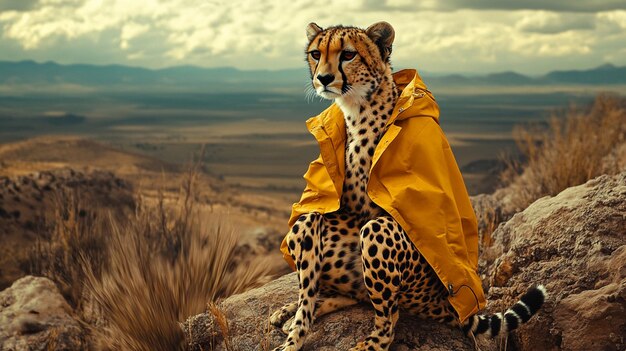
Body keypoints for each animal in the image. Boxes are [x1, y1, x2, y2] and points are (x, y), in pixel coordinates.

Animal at [270, 22, 544, 351]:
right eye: (315, 54)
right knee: (316, 238)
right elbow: (313, 223)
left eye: (348, 55)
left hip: (393, 254)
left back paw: (368, 342)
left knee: (389, 316)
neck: (357, 107)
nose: (323, 78)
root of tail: (445, 304)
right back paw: (292, 316)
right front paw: (294, 327)